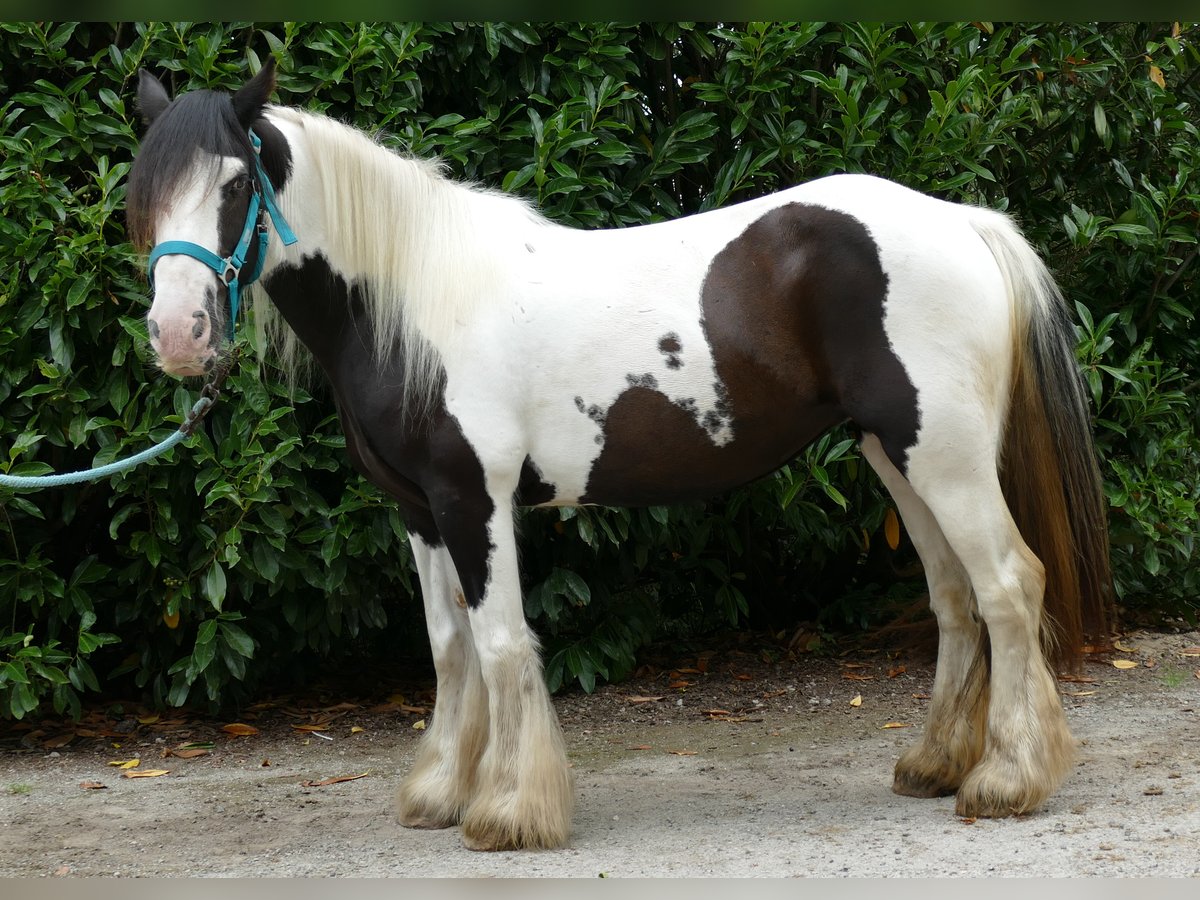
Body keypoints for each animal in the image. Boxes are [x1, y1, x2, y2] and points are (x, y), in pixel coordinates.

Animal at [126, 61, 1108, 854]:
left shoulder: (473, 501)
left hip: (943, 457)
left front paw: (509, 811)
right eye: (144, 193)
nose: (178, 336)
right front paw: (441, 792)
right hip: (895, 458)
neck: (416, 301)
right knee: (954, 598)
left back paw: (1007, 780)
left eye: (236, 181)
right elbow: (448, 648)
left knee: (1008, 584)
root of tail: (965, 223)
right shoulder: (417, 510)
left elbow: (499, 643)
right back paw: (936, 764)